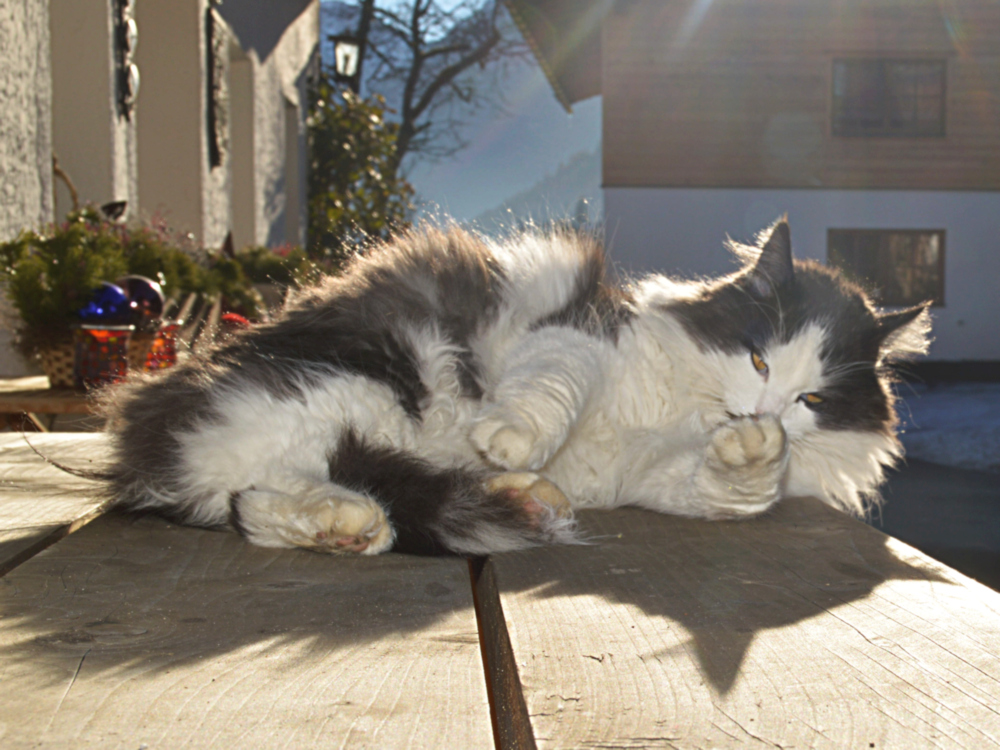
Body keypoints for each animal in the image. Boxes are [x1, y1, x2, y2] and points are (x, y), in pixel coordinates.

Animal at [99, 219, 928, 560]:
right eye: (757, 358)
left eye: (811, 400)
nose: (759, 410)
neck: (681, 414)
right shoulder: (578, 332)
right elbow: (549, 390)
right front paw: (512, 438)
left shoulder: (652, 477)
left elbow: (736, 492)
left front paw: (755, 452)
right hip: (350, 390)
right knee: (256, 486)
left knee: (255, 501)